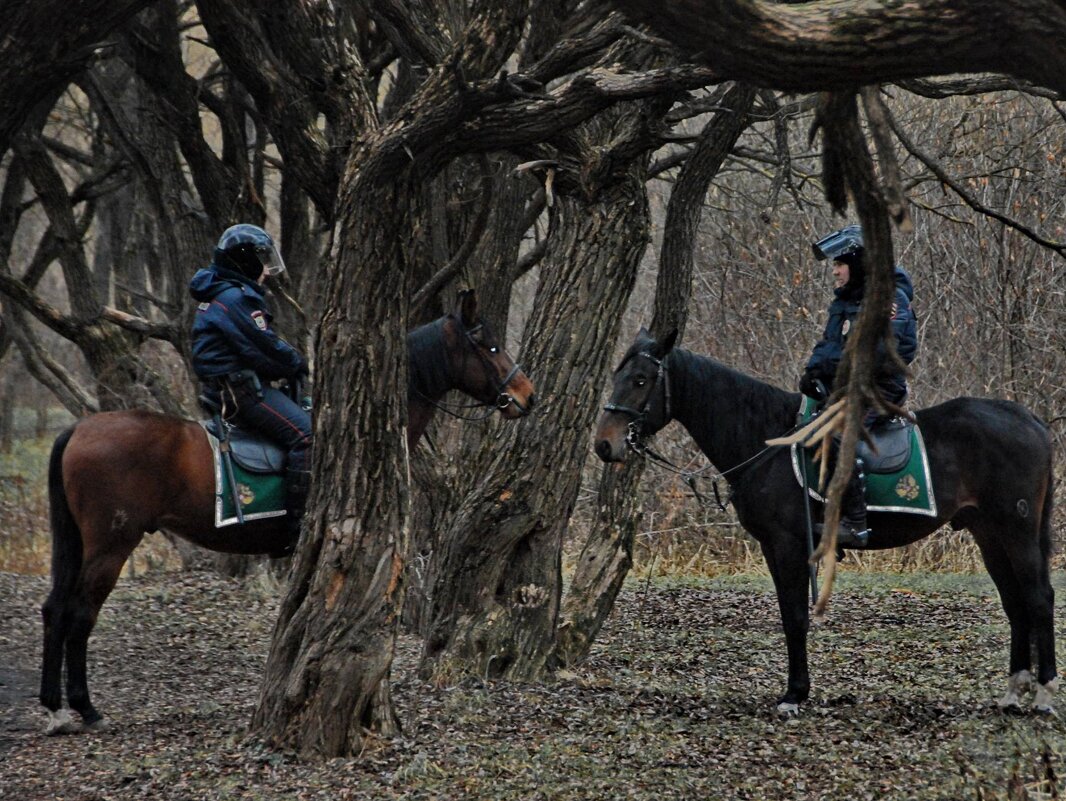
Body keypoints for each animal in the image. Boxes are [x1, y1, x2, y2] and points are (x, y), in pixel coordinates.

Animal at [40, 292, 533, 738]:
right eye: (489, 346)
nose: (525, 395)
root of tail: (78, 429)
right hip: (110, 545)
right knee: (80, 614)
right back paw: (85, 708)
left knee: (55, 609)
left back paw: (54, 707)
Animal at [596, 328, 1053, 716]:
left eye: (641, 380)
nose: (604, 444)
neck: (769, 442)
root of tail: (1029, 420)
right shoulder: (773, 547)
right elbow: (788, 614)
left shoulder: (789, 545)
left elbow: (796, 616)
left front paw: (795, 694)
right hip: (989, 533)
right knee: (1014, 602)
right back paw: (1014, 692)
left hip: (1016, 530)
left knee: (1038, 597)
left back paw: (1044, 694)